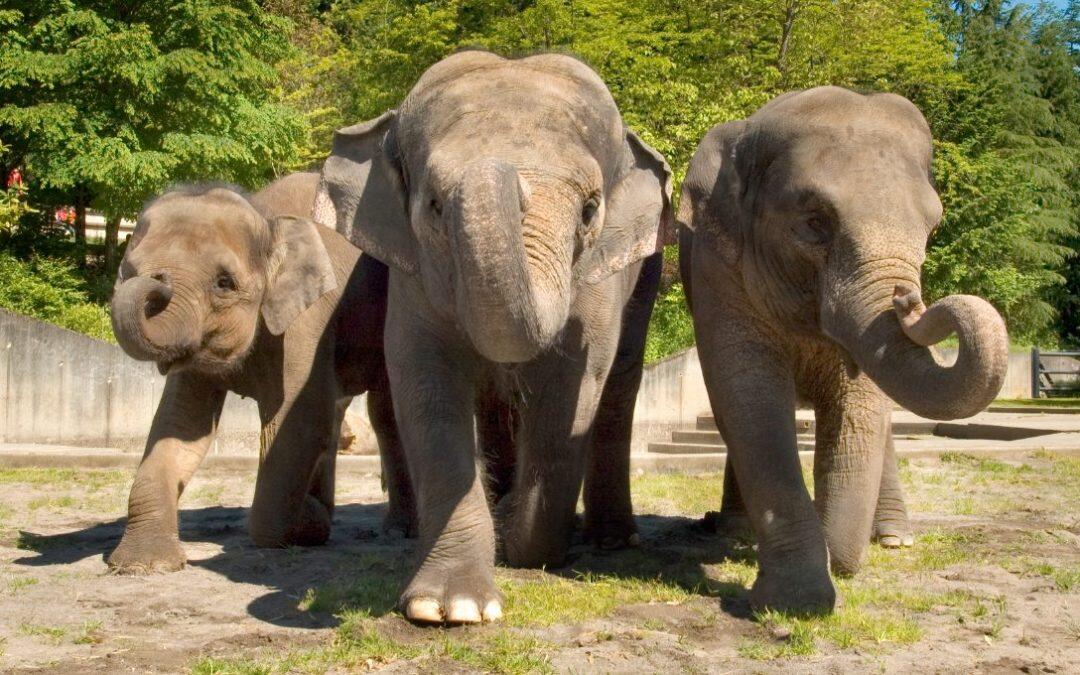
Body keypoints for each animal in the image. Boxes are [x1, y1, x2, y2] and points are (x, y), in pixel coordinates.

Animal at [106, 174, 412, 574]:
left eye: (224, 282)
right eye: (127, 271)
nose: (157, 281)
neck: (266, 218)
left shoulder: (306, 322)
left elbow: (298, 422)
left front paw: (309, 521)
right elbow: (181, 424)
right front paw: (145, 563)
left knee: (386, 411)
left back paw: (398, 531)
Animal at [317, 49, 673, 622]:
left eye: (590, 209)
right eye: (435, 205)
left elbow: (574, 385)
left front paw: (524, 546)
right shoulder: (413, 274)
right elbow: (425, 380)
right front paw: (451, 607)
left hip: (646, 274)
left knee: (618, 385)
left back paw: (610, 540)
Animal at [678, 86, 1006, 613]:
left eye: (933, 229)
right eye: (815, 222)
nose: (908, 300)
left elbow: (858, 403)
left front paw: (827, 568)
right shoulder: (717, 267)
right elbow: (748, 398)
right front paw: (796, 598)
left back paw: (893, 538)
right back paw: (732, 530)